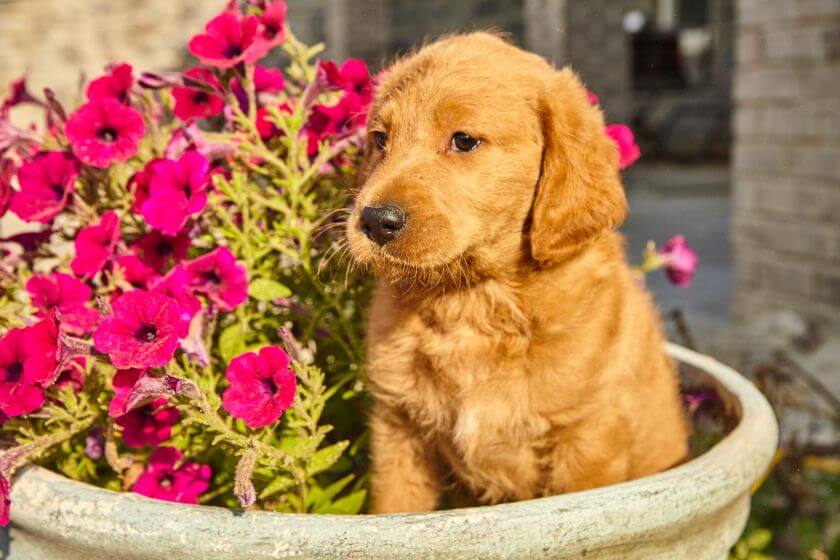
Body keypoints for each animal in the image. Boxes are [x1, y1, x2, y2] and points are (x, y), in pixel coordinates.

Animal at [346, 31, 688, 512]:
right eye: (380, 138)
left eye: (464, 141)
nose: (375, 220)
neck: (473, 301)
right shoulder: (400, 429)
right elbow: (395, 509)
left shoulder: (586, 439)